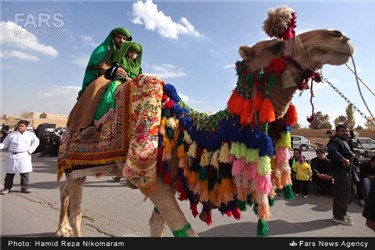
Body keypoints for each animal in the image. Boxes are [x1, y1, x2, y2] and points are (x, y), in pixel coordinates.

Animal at [54, 6, 354, 237]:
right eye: (276, 45)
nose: (340, 36)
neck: (190, 129)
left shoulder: (170, 176)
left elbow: (158, 224)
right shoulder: (148, 175)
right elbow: (184, 230)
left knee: (67, 192)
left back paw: (62, 228)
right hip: (74, 162)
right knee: (75, 204)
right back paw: (65, 229)